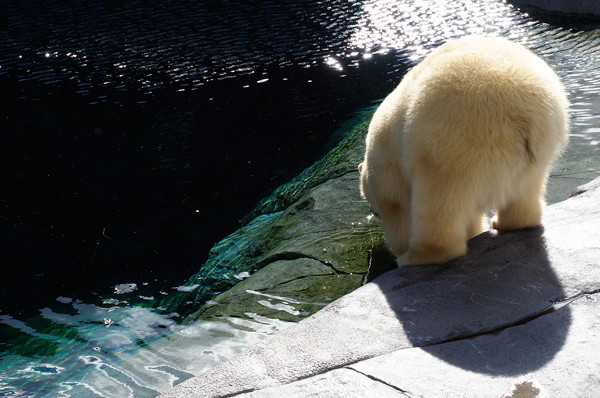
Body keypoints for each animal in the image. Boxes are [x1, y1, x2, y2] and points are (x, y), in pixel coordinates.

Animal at [358, 35, 568, 266]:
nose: (372, 211)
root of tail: (525, 113)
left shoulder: (388, 169)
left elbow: (397, 211)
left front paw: (399, 246)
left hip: (452, 145)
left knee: (439, 201)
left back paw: (417, 256)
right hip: (541, 145)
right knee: (527, 187)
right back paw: (508, 223)